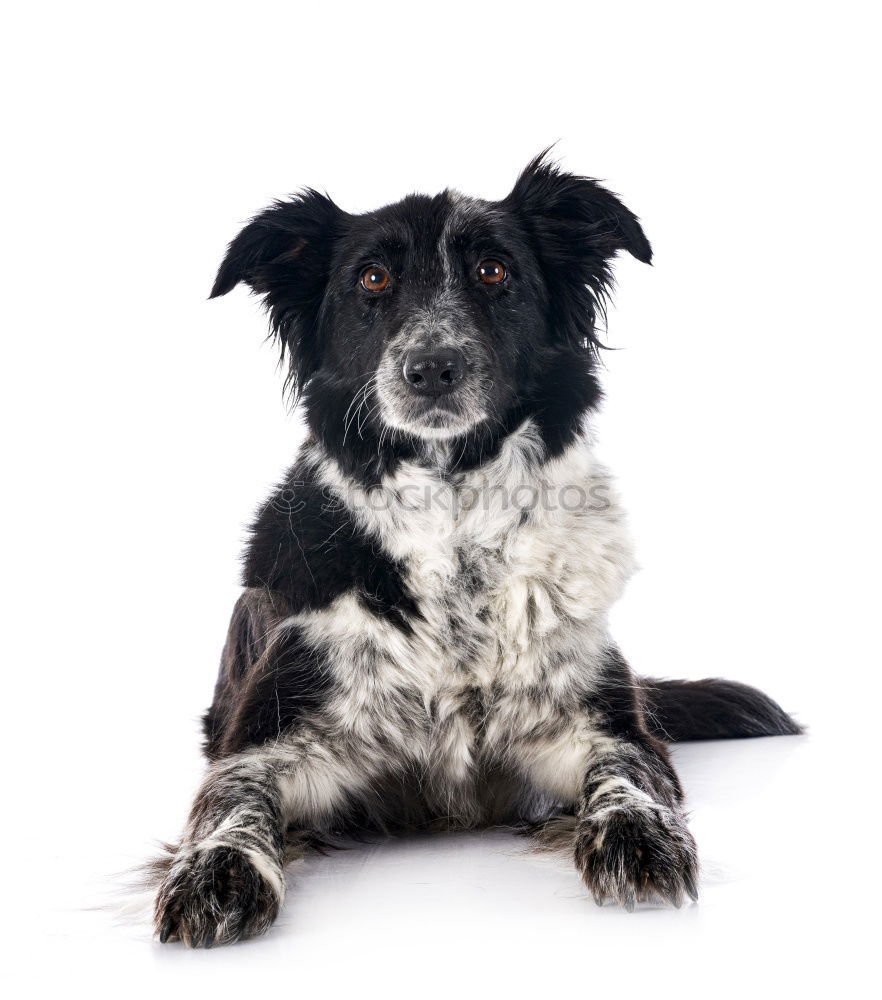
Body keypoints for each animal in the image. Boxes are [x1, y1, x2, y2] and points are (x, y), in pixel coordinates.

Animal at [150, 154, 796, 944]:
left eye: (493, 271)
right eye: (372, 279)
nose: (432, 367)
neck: (453, 524)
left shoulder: (599, 725)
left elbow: (629, 772)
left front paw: (638, 836)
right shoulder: (269, 736)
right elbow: (229, 800)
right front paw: (214, 870)